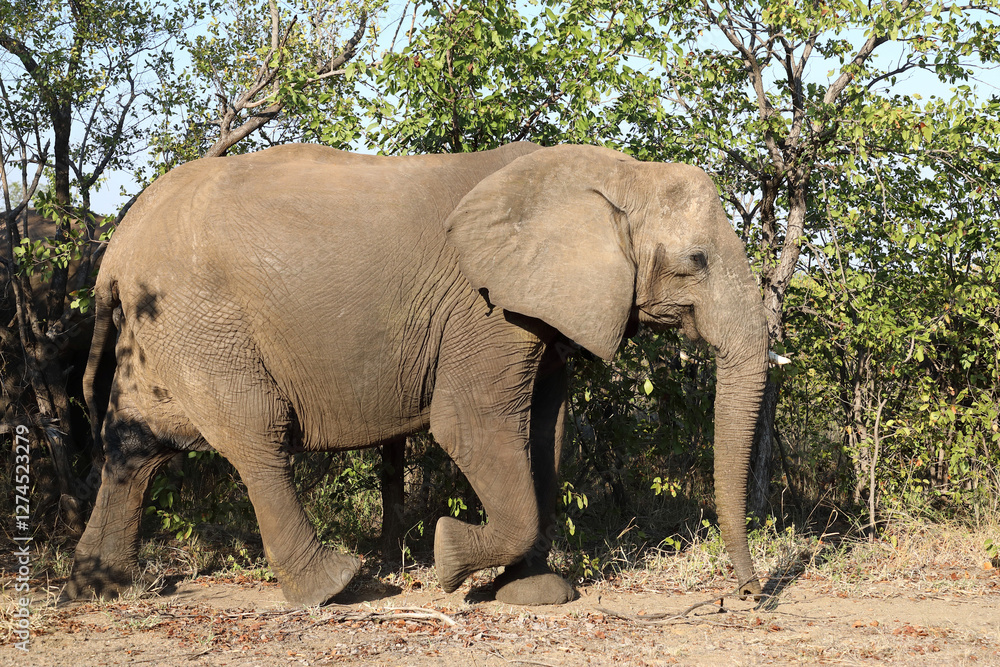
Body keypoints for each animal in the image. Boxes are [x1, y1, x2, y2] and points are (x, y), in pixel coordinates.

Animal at [67, 141, 768, 607]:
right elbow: (470, 424)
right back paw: (336, 586)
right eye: (697, 260)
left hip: (160, 326)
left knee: (135, 443)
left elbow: (546, 431)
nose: (747, 595)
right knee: (255, 433)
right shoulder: (483, 307)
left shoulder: (539, 309)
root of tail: (115, 248)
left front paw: (535, 594)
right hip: (202, 317)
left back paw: (97, 588)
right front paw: (449, 560)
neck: (611, 172)